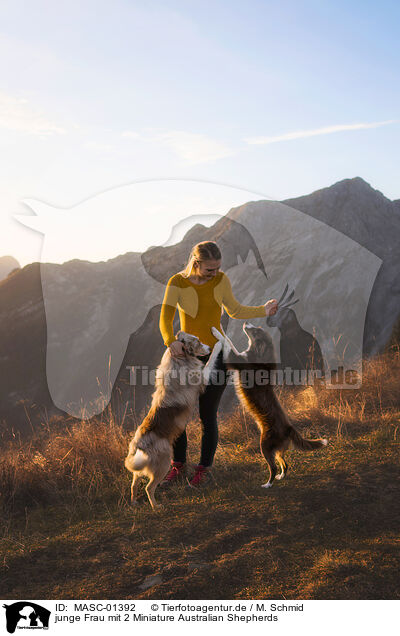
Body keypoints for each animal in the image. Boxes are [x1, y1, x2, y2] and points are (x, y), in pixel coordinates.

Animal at [125, 332, 222, 506]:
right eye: (197, 342)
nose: (208, 347)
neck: (178, 361)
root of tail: (138, 444)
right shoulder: (202, 379)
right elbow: (210, 362)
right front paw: (218, 345)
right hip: (163, 464)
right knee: (149, 487)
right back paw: (156, 506)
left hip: (138, 467)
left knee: (134, 484)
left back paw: (134, 502)